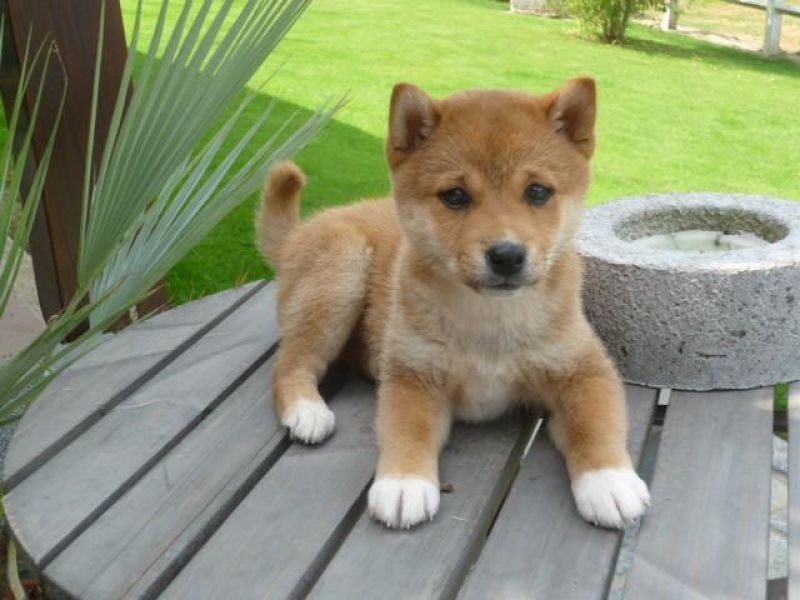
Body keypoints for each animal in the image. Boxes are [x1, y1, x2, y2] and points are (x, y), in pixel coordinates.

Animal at [256, 78, 650, 530]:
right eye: (455, 196)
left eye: (537, 191)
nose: (507, 255)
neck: (490, 323)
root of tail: (296, 236)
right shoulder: (413, 375)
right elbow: (406, 429)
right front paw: (404, 483)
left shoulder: (584, 369)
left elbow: (596, 424)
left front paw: (610, 482)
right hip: (341, 272)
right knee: (290, 364)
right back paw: (307, 410)